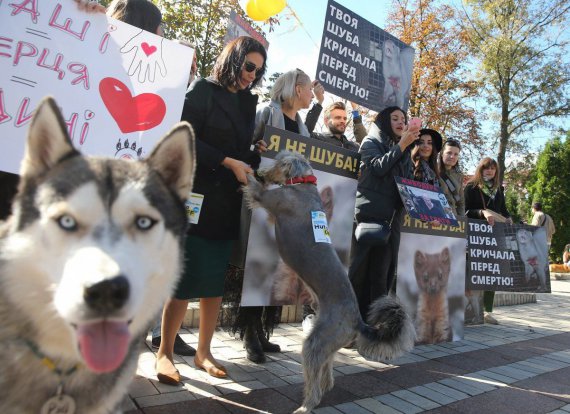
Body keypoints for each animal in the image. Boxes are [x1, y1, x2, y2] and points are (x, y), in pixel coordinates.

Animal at [243, 152, 412, 414]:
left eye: (279, 161)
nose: (262, 171)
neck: (303, 183)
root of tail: (358, 322)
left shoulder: (267, 199)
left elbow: (253, 187)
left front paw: (245, 170)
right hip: (325, 342)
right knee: (327, 370)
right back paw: (324, 385)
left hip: (315, 342)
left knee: (315, 378)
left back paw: (306, 405)